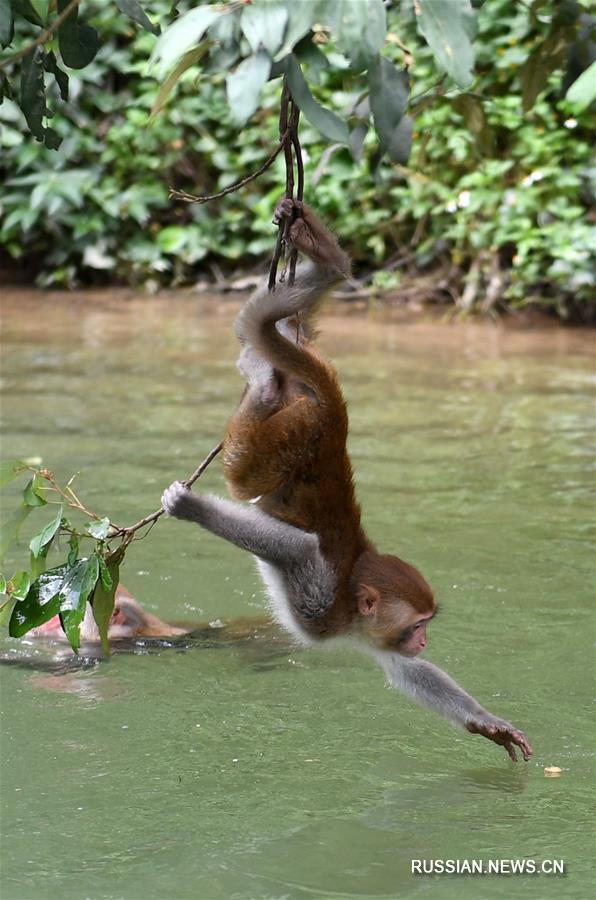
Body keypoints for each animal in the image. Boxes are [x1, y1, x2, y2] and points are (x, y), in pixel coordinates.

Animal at [161, 200, 532, 764]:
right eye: (418, 625)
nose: (424, 642)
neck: (354, 597)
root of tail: (334, 416)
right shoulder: (321, 607)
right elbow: (301, 548)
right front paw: (191, 509)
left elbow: (406, 672)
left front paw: (486, 722)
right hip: (284, 436)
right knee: (244, 476)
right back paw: (265, 383)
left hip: (298, 403)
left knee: (275, 331)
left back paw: (321, 276)